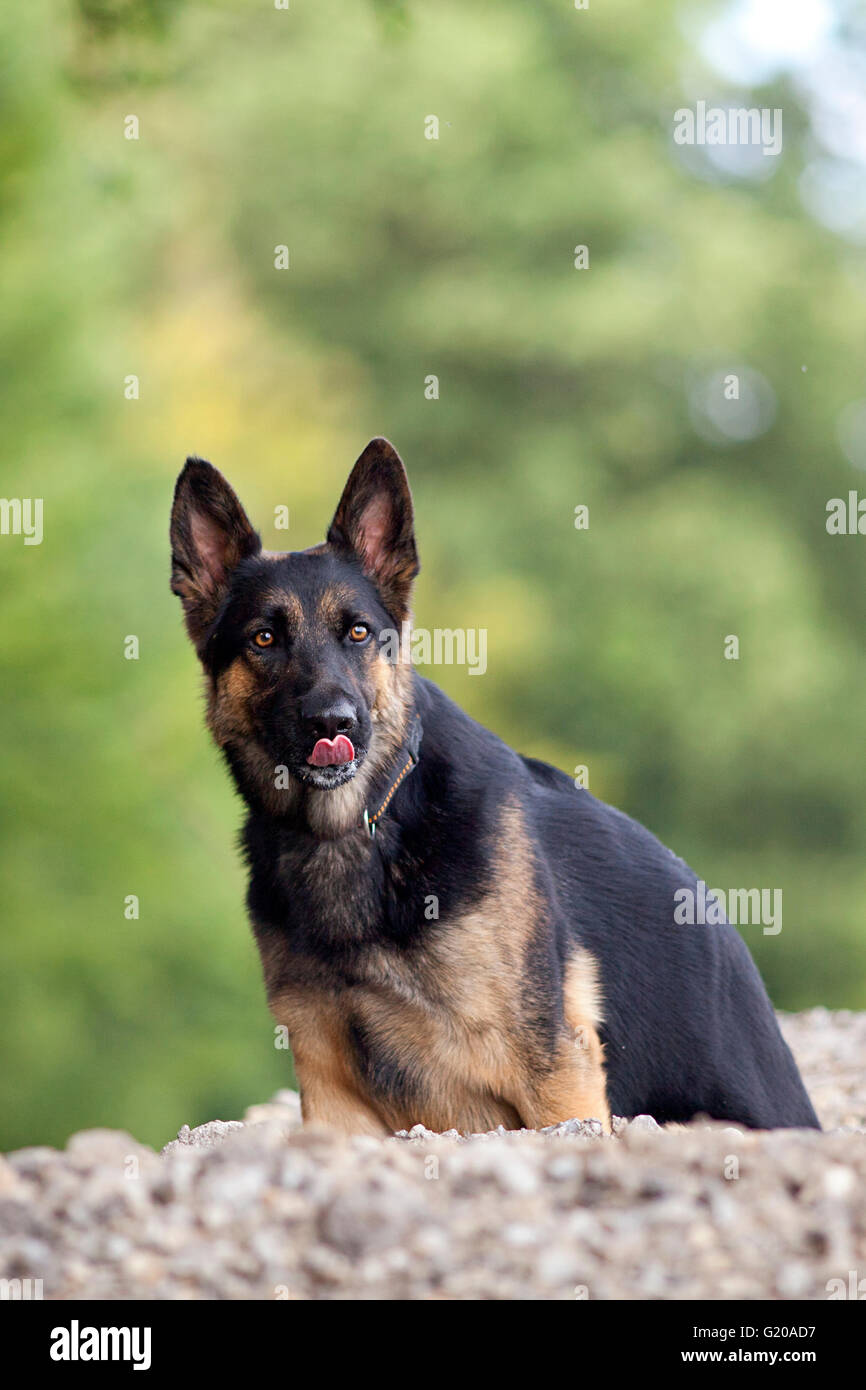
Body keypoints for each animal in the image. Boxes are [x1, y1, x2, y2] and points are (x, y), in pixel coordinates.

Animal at [169, 439, 817, 1134]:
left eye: (359, 632)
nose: (332, 723)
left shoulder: (555, 1071)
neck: (367, 824)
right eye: (264, 638)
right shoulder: (329, 1087)